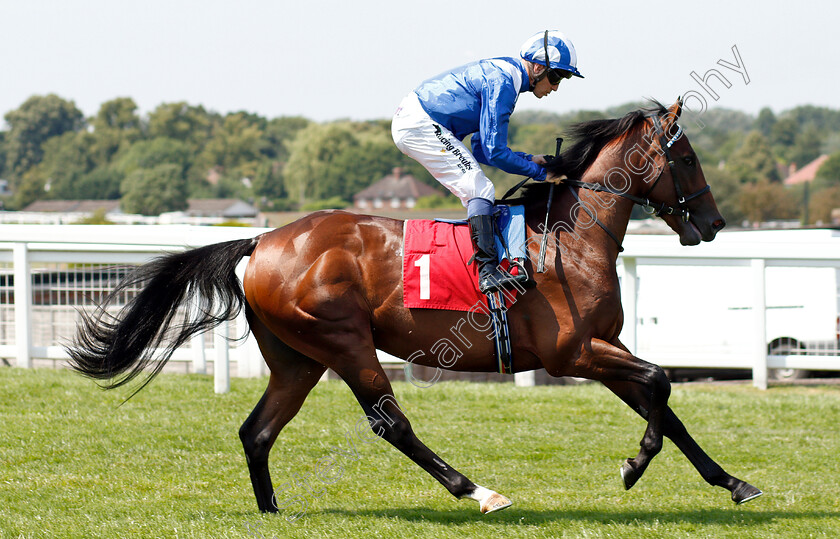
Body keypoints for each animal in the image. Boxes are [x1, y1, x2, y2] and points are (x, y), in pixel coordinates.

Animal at [67, 99, 760, 516]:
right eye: (686, 157)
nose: (714, 223)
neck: (572, 237)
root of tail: (261, 241)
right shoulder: (574, 353)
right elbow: (660, 383)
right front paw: (634, 466)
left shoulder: (601, 347)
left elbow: (662, 401)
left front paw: (731, 482)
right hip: (344, 341)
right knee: (388, 423)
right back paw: (477, 490)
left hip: (297, 358)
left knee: (257, 430)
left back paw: (271, 510)